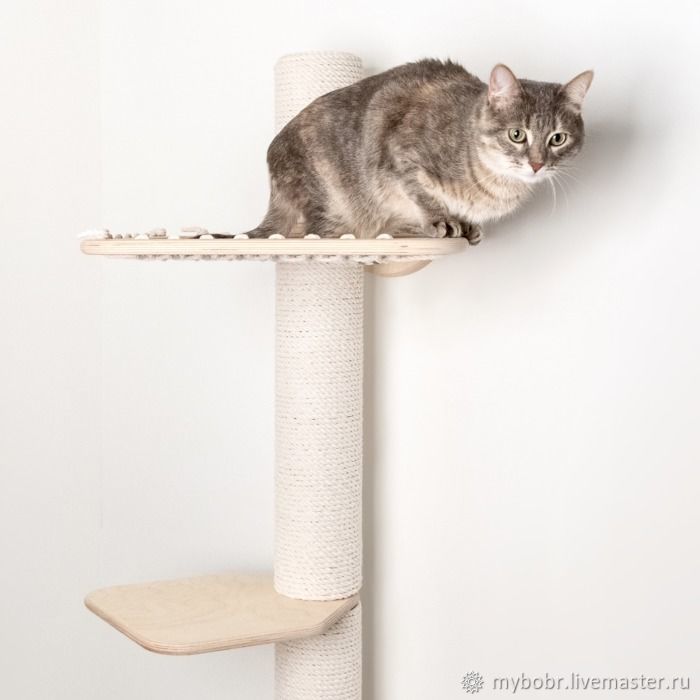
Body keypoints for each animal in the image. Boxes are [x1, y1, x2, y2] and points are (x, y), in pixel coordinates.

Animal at [244, 60, 593, 243]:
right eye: (517, 134)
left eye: (558, 139)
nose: (536, 164)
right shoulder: (399, 157)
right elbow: (421, 193)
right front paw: (442, 220)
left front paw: (465, 225)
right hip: (327, 207)